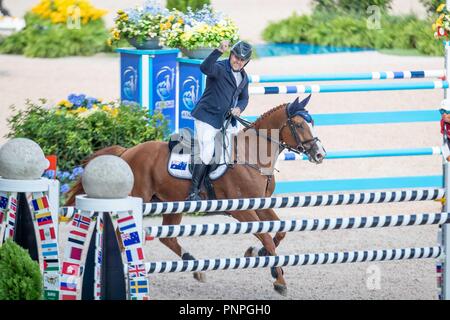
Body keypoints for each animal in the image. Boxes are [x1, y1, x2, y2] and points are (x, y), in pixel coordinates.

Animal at [65, 96, 326, 296]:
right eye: (299, 125)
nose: (319, 154)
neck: (252, 156)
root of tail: (127, 152)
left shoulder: (261, 205)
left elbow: (279, 232)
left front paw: (257, 253)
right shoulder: (242, 211)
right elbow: (268, 237)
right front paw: (278, 279)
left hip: (171, 204)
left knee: (167, 237)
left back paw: (196, 267)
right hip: (141, 200)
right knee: (124, 237)